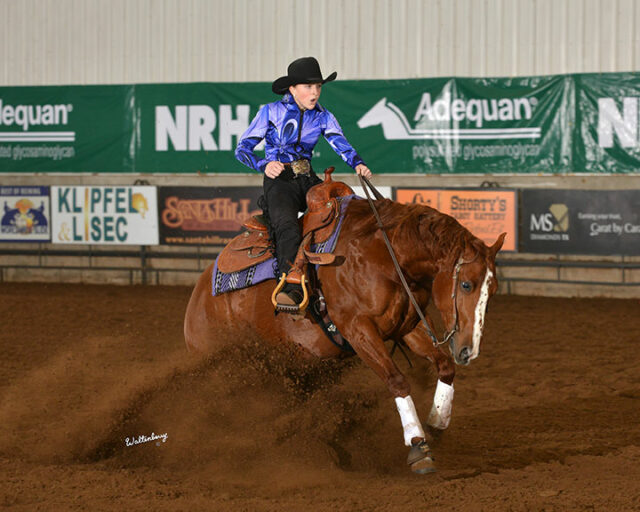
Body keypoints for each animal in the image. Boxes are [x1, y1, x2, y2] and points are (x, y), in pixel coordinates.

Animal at [184, 189, 505, 474]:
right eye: (466, 284)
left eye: (493, 290)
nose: (468, 350)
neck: (385, 256)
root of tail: (198, 297)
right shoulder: (358, 330)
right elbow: (397, 381)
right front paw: (418, 446)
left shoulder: (408, 326)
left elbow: (445, 366)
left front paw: (437, 421)